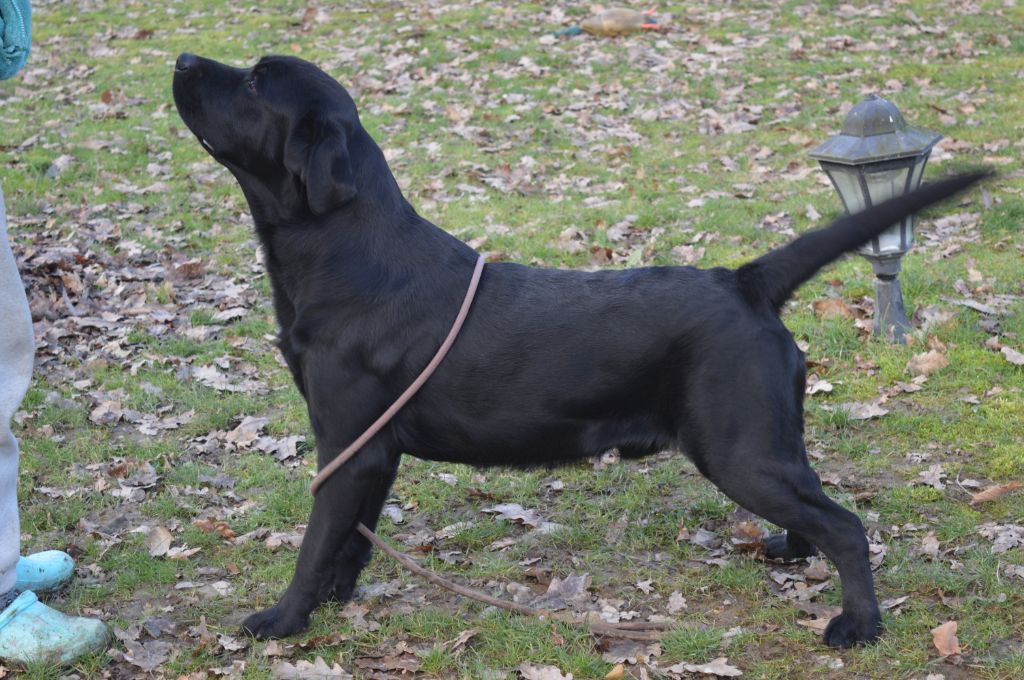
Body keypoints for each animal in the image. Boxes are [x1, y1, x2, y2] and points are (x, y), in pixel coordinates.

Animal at [174, 53, 983, 647]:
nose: (182, 59)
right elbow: (351, 540)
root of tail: (744, 280)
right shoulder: (369, 448)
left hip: (739, 449)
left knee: (846, 526)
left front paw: (282, 619)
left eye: (255, 82)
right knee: (818, 512)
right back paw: (790, 551)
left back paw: (858, 624)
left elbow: (316, 543)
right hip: (765, 442)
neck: (345, 253)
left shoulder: (348, 444)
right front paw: (337, 601)